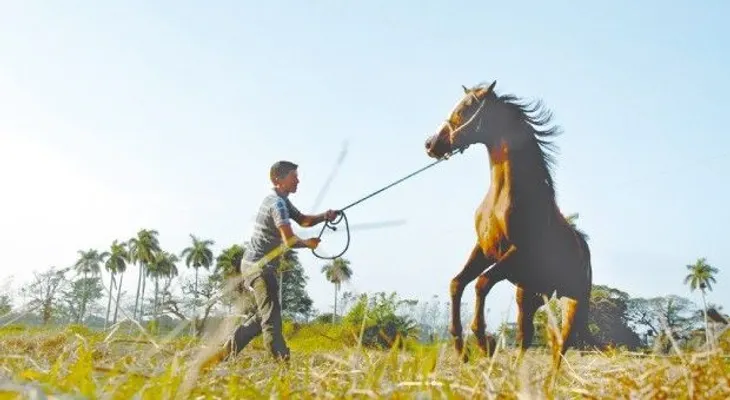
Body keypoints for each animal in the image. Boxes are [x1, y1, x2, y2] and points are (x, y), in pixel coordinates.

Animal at [424, 81, 602, 371]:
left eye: (466, 108)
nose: (431, 144)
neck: (502, 199)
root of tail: (583, 247)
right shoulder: (484, 250)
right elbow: (457, 283)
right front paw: (461, 348)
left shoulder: (515, 255)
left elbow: (482, 283)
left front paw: (483, 342)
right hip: (528, 295)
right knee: (528, 336)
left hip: (572, 300)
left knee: (560, 344)